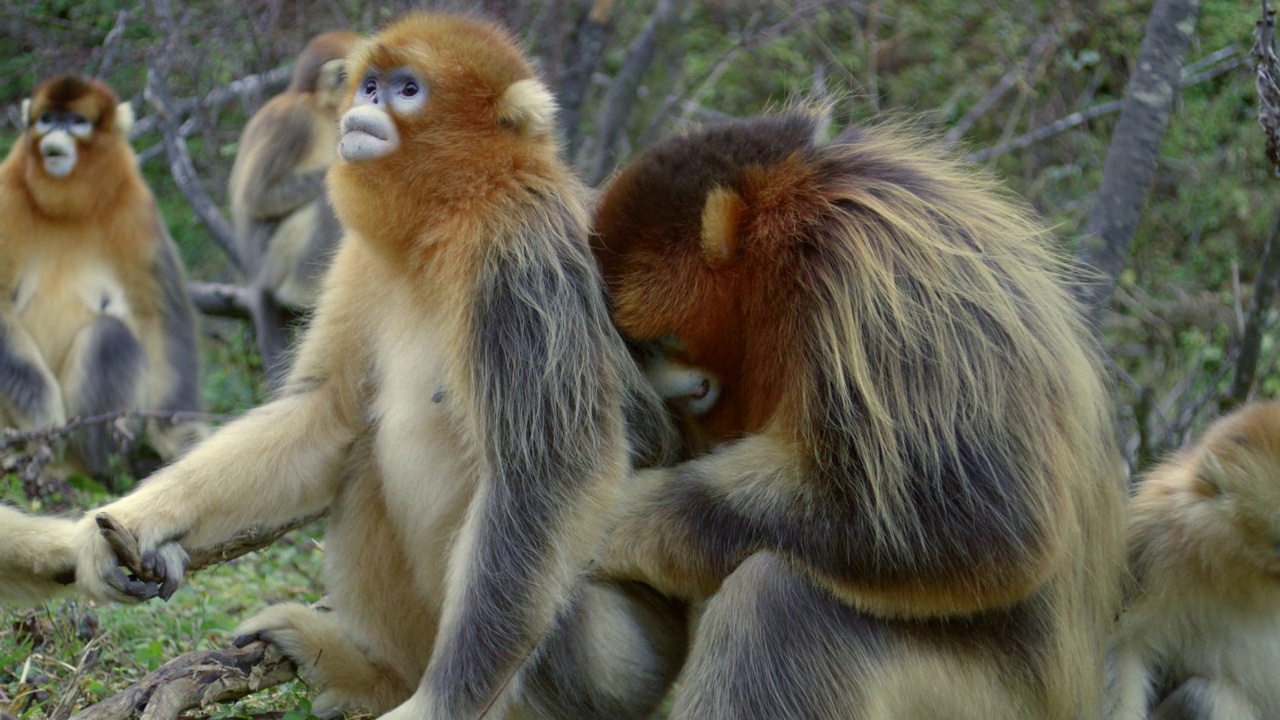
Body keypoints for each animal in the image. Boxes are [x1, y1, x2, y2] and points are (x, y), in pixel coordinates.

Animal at [227, 30, 358, 384]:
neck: (320, 107)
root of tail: (256, 275)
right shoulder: (296, 120)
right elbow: (257, 196)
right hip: (277, 258)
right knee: (326, 205)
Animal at [586, 112, 1121, 717]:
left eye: (657, 343)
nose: (660, 383)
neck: (790, 237)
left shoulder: (872, 274)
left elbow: (985, 522)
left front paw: (624, 521)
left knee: (778, 603)